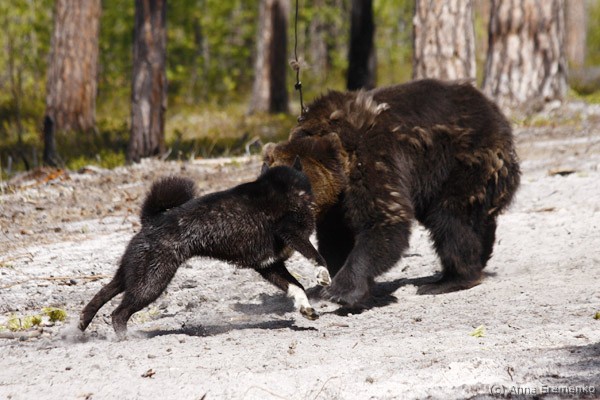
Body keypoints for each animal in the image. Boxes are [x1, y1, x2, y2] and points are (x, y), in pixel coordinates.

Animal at [78, 159, 330, 339]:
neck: (287, 188)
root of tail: (150, 221)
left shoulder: (269, 266)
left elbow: (296, 286)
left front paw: (305, 308)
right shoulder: (290, 232)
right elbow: (316, 255)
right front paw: (322, 274)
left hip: (133, 276)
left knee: (102, 295)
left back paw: (82, 323)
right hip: (151, 284)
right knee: (118, 313)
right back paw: (125, 339)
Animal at [263, 78, 521, 306]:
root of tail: (495, 112)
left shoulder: (375, 159)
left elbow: (384, 221)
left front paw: (341, 290)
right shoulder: (336, 203)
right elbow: (336, 237)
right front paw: (329, 282)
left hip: (462, 160)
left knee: (450, 219)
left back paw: (448, 280)